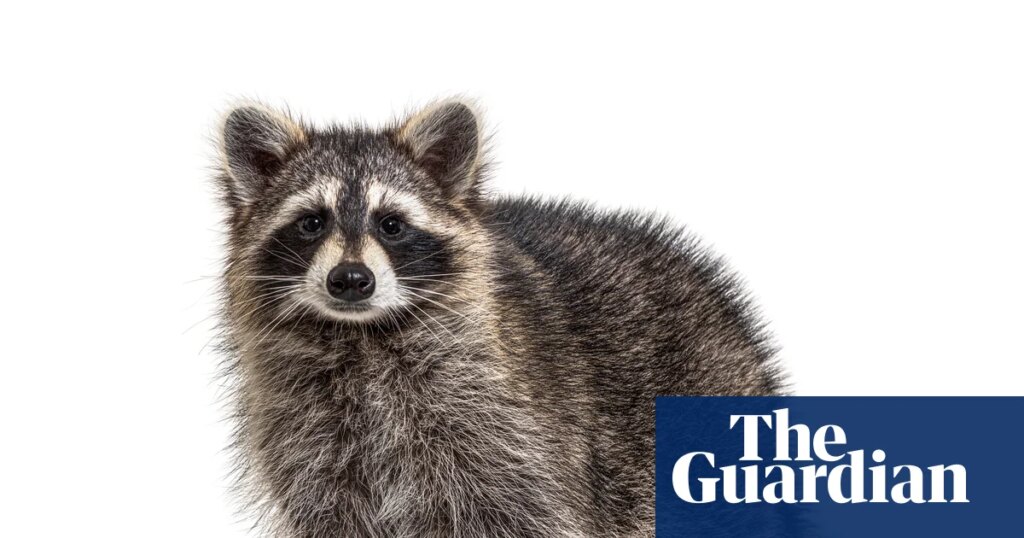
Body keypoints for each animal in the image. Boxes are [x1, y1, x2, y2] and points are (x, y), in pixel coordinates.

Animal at [214, 99, 783, 537]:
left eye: (391, 224)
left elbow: (524, 513)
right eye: (311, 222)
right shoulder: (309, 441)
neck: (362, 335)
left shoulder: (507, 433)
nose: (351, 279)